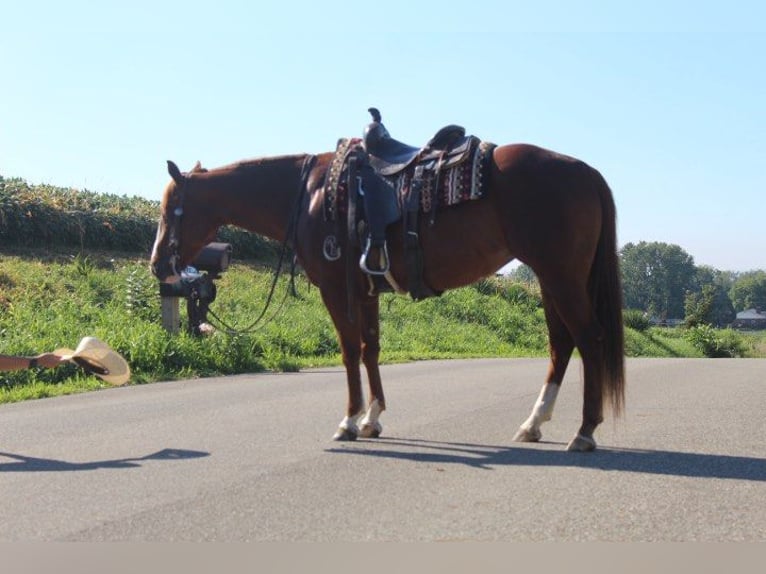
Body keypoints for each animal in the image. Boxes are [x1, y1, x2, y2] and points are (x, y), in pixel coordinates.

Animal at [150, 122, 624, 454]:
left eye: (171, 210)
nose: (158, 265)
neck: (311, 194)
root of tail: (585, 171)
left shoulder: (336, 289)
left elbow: (348, 350)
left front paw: (348, 421)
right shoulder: (366, 291)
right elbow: (370, 349)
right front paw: (372, 419)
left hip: (561, 277)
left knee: (589, 339)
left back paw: (584, 432)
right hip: (550, 279)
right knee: (561, 345)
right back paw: (534, 424)